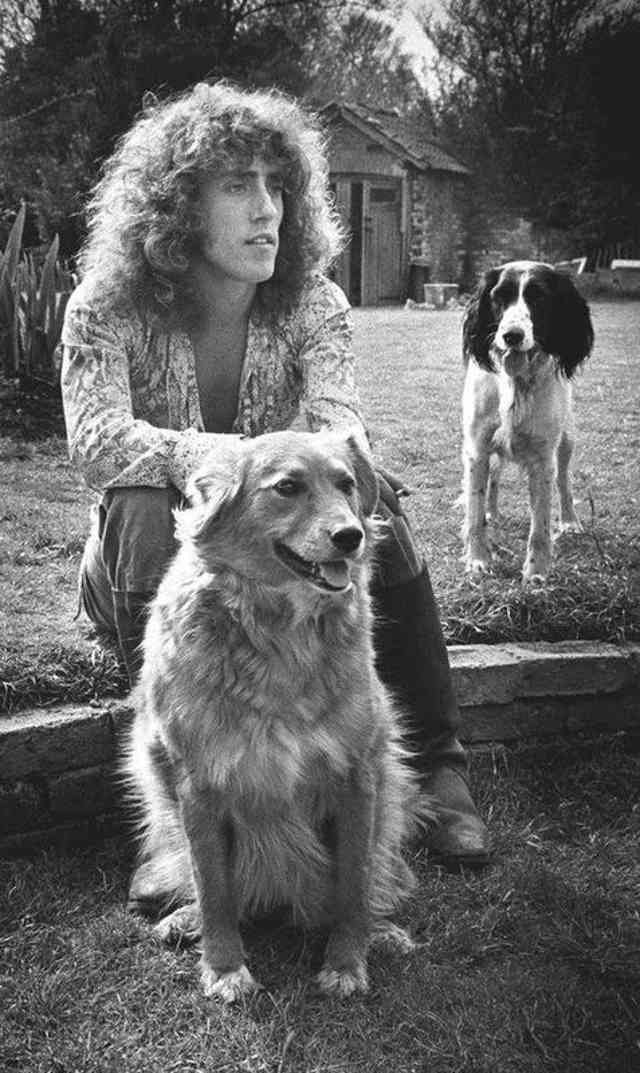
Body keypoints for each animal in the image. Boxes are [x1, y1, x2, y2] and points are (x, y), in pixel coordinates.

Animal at [122, 429, 427, 1004]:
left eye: (346, 484)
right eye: (287, 487)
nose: (351, 536)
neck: (278, 631)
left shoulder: (358, 776)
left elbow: (353, 884)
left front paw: (347, 962)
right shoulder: (198, 784)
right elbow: (214, 889)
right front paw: (224, 967)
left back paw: (382, 932)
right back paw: (185, 919)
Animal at [461, 262, 592, 583]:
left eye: (539, 297)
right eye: (499, 297)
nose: (512, 335)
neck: (516, 385)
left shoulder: (543, 459)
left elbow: (540, 526)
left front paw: (536, 572)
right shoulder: (477, 449)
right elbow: (475, 510)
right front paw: (478, 560)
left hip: (567, 441)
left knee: (564, 481)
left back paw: (570, 520)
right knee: (493, 479)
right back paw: (492, 512)